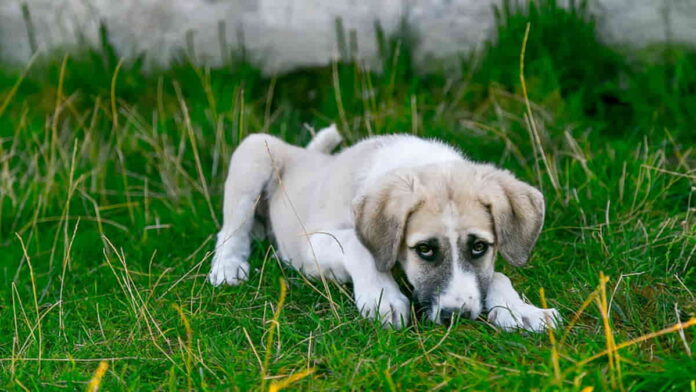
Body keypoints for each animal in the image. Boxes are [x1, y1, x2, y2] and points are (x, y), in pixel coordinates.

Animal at [208, 125, 560, 330]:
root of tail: (306, 154)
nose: (456, 316)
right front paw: (382, 297)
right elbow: (358, 246)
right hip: (254, 152)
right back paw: (228, 267)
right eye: (424, 250)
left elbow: (497, 275)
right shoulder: (313, 243)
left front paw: (520, 309)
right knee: (231, 229)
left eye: (479, 247)